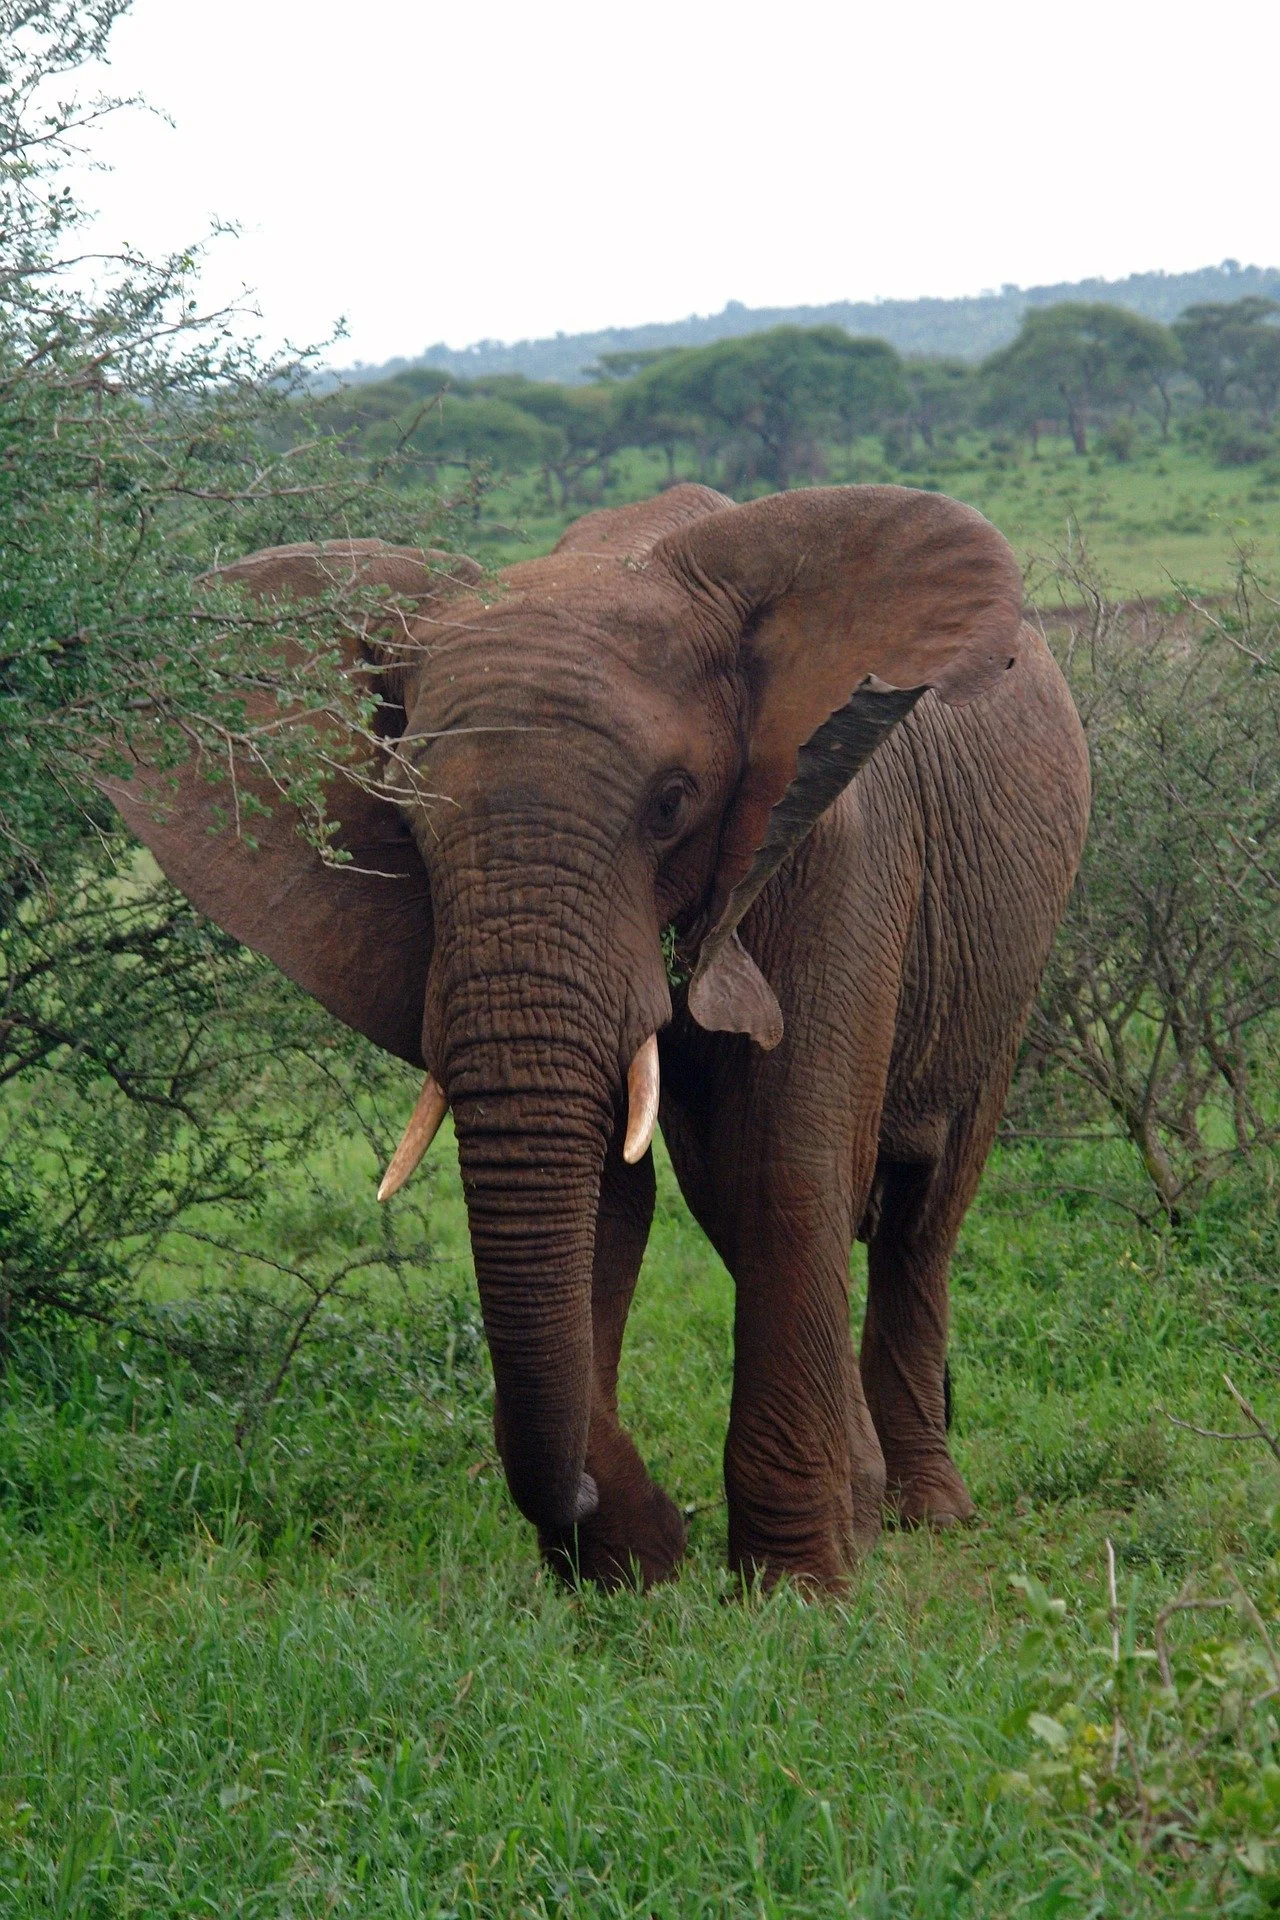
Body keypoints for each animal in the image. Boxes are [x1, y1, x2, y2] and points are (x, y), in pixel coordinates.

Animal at [101, 483, 1090, 1593]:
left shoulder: (835, 835)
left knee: (921, 1210)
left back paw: (923, 1512)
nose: (595, 1508)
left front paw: (792, 1592)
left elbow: (789, 1165)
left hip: (1010, 957)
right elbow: (610, 1199)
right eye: (402, 827)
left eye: (671, 806)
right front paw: (628, 1571)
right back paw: (867, 1501)